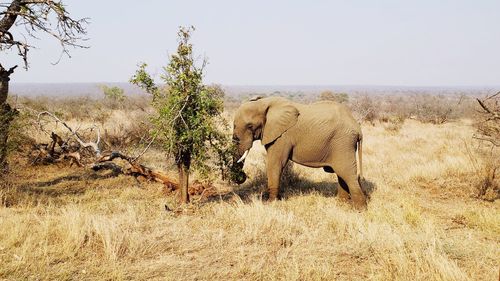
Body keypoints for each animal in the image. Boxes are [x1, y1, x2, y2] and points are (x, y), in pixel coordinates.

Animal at [231, 95, 368, 208]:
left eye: (250, 126)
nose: (242, 176)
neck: (264, 102)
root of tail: (357, 127)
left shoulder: (282, 136)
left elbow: (275, 163)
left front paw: (270, 203)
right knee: (342, 174)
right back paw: (341, 204)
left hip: (343, 142)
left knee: (347, 173)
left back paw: (359, 209)